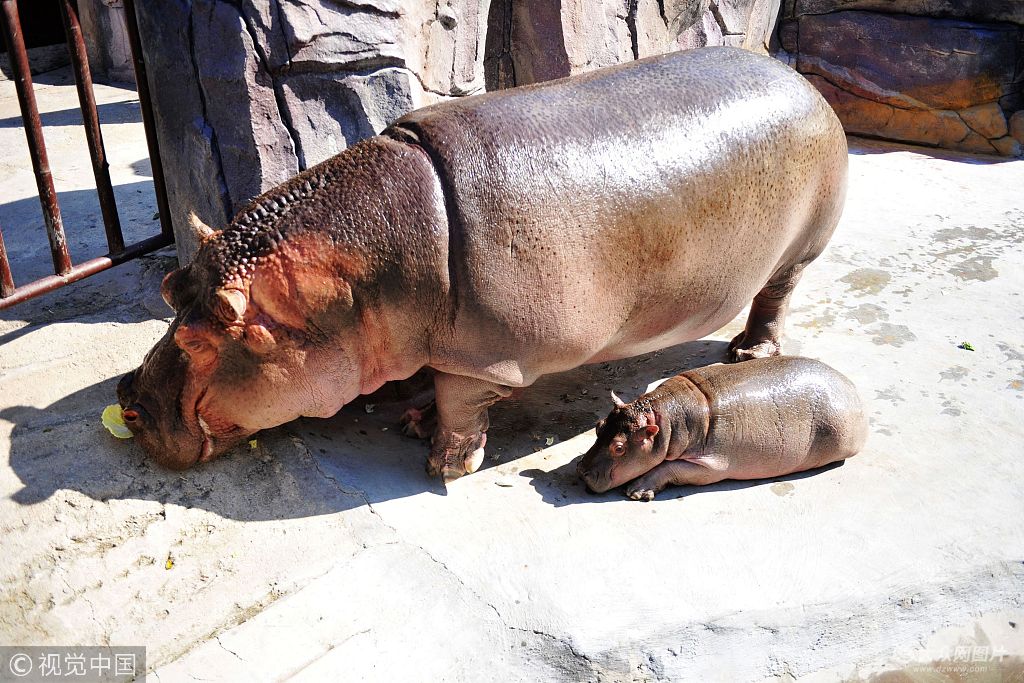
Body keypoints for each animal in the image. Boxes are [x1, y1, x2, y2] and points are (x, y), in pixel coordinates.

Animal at [116, 46, 847, 481]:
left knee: (775, 297)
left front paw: (445, 464)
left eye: (203, 335)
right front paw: (411, 416)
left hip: (800, 250)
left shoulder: (485, 354)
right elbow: (427, 379)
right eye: (169, 286)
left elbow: (459, 398)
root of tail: (794, 73)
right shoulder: (421, 335)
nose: (126, 399)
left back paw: (748, 354)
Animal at [577, 358, 864, 501]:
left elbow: (669, 467)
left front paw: (637, 491)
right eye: (598, 427)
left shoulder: (711, 466)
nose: (582, 470)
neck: (665, 421)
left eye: (619, 447)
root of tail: (851, 387)